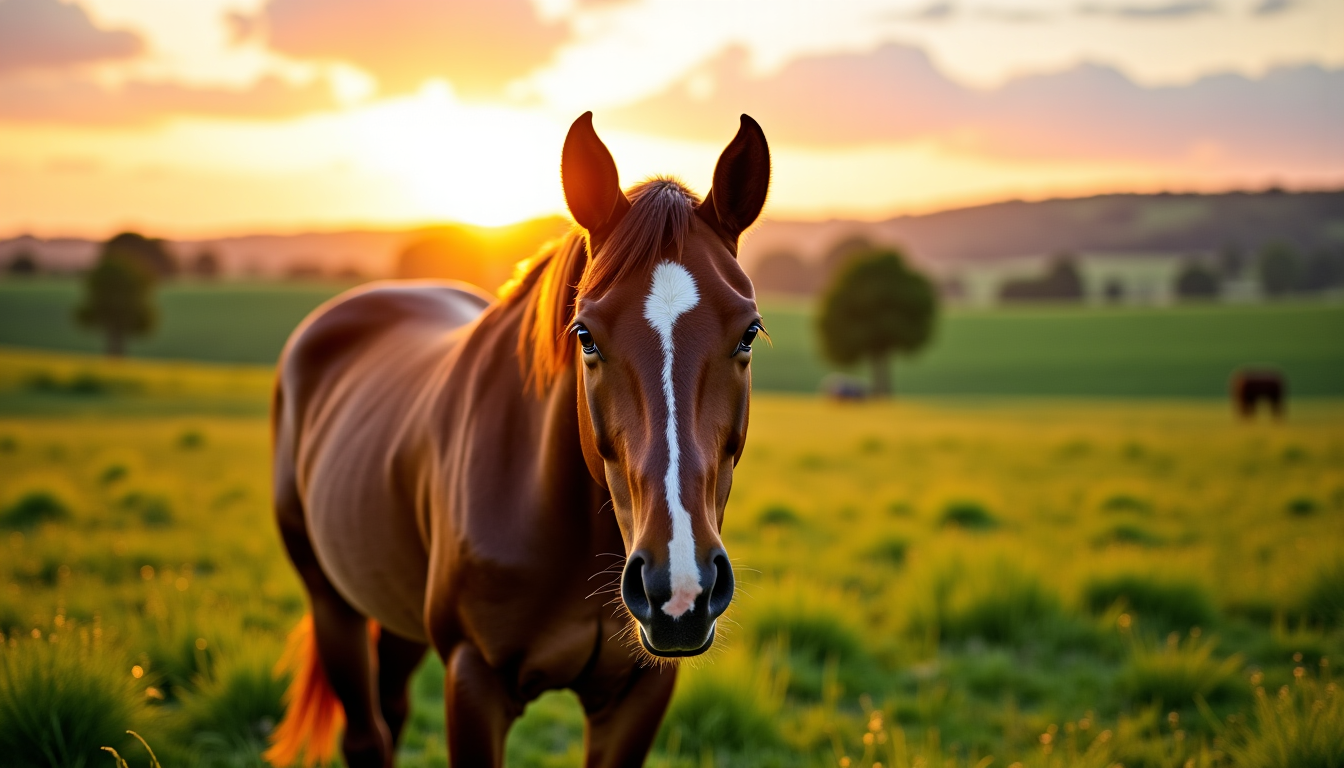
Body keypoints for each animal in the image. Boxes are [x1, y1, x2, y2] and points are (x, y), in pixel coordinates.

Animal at [264, 112, 771, 767]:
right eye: (585, 334)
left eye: (749, 333)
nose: (680, 589)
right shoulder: (473, 678)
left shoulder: (639, 691)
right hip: (333, 603)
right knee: (366, 734)